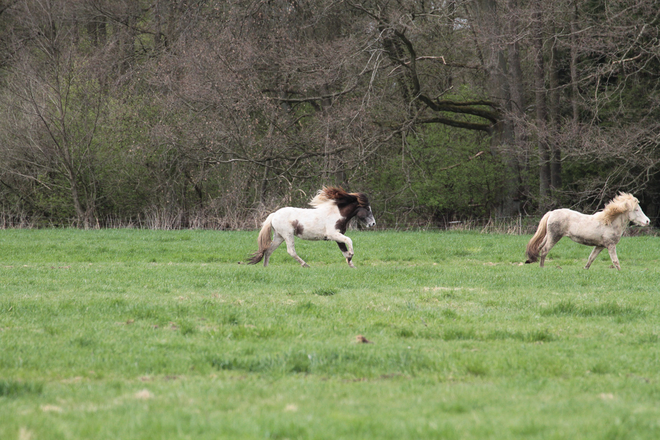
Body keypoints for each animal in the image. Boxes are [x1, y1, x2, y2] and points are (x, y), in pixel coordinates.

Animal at [246, 186, 374, 268]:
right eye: (367, 209)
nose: (373, 224)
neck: (337, 214)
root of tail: (274, 215)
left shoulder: (338, 236)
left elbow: (344, 251)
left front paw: (351, 265)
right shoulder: (333, 234)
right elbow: (349, 241)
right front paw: (351, 255)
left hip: (279, 237)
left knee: (268, 250)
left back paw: (266, 267)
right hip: (288, 235)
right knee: (290, 251)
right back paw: (305, 265)